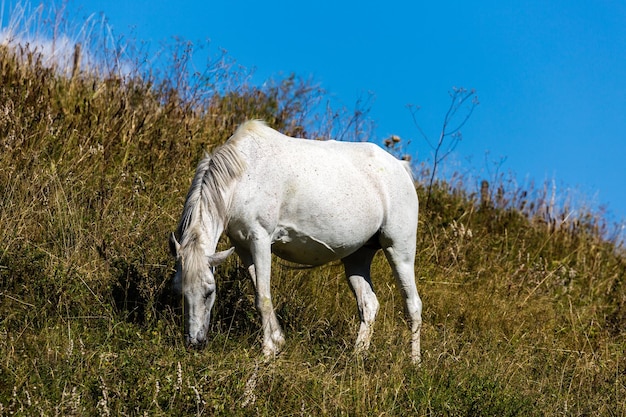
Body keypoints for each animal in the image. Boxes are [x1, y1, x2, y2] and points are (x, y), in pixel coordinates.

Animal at [168, 119, 422, 360]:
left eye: (209, 291)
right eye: (179, 291)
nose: (195, 341)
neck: (244, 175)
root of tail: (400, 167)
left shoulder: (260, 239)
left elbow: (263, 297)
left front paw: (268, 351)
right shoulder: (243, 246)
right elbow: (260, 289)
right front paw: (278, 342)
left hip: (399, 248)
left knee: (413, 305)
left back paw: (414, 363)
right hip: (357, 256)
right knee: (369, 303)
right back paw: (357, 357)